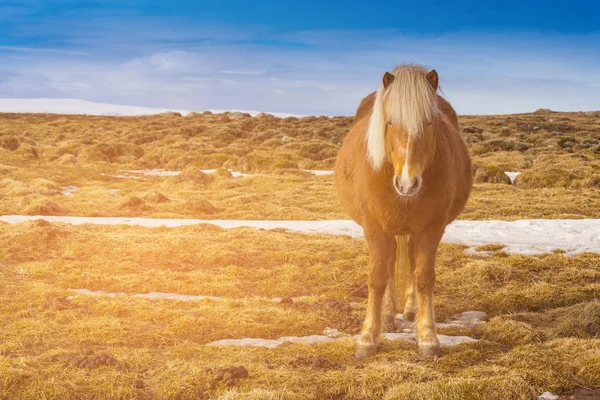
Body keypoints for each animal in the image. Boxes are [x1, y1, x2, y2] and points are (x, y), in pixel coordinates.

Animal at [336, 63, 472, 360]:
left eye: (430, 122)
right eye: (389, 122)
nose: (407, 183)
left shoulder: (432, 228)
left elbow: (423, 278)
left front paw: (428, 338)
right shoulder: (375, 227)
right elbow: (377, 278)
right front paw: (367, 339)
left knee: (409, 262)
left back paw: (409, 310)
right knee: (388, 268)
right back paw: (388, 315)